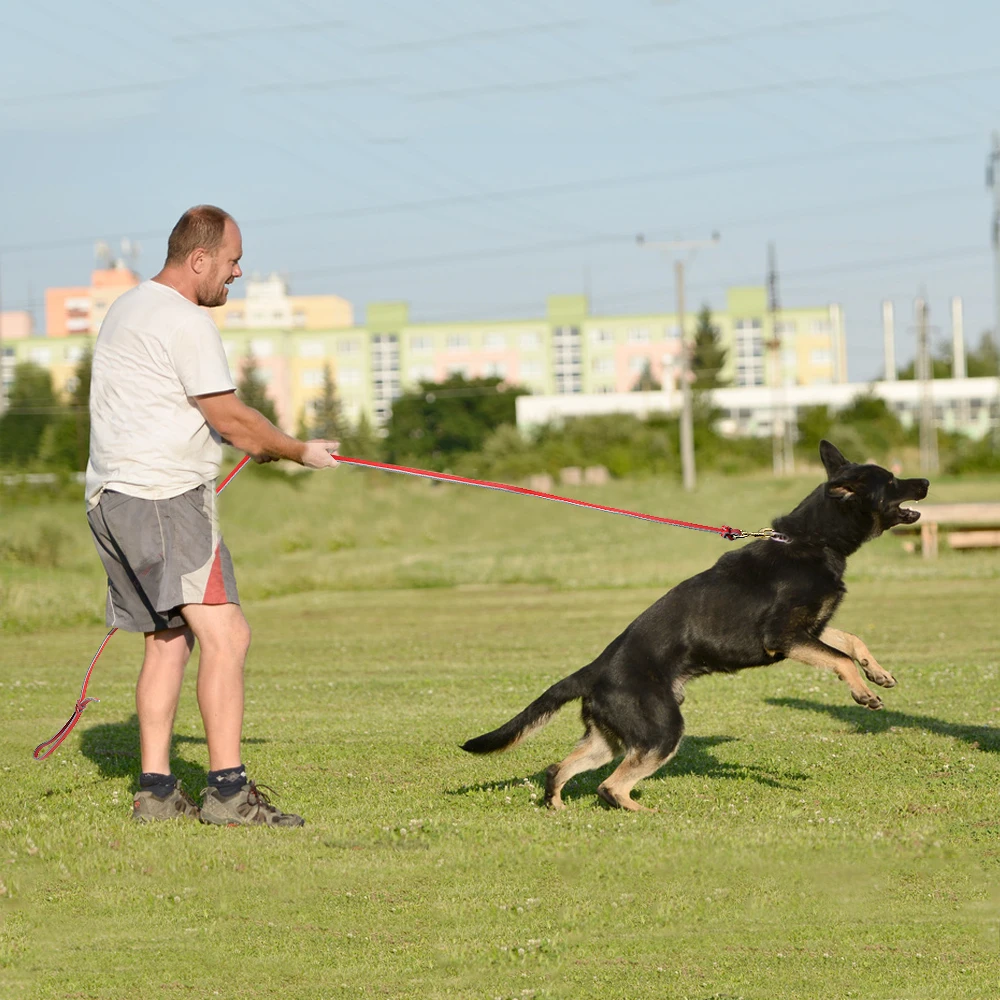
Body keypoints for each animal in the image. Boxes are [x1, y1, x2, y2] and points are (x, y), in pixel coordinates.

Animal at [460, 446, 928, 812]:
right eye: (892, 481)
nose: (924, 480)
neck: (813, 540)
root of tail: (595, 669)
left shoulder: (808, 629)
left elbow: (850, 640)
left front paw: (878, 673)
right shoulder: (784, 637)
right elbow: (840, 656)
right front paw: (863, 691)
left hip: (611, 740)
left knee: (562, 768)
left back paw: (558, 807)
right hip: (662, 730)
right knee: (610, 786)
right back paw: (644, 813)